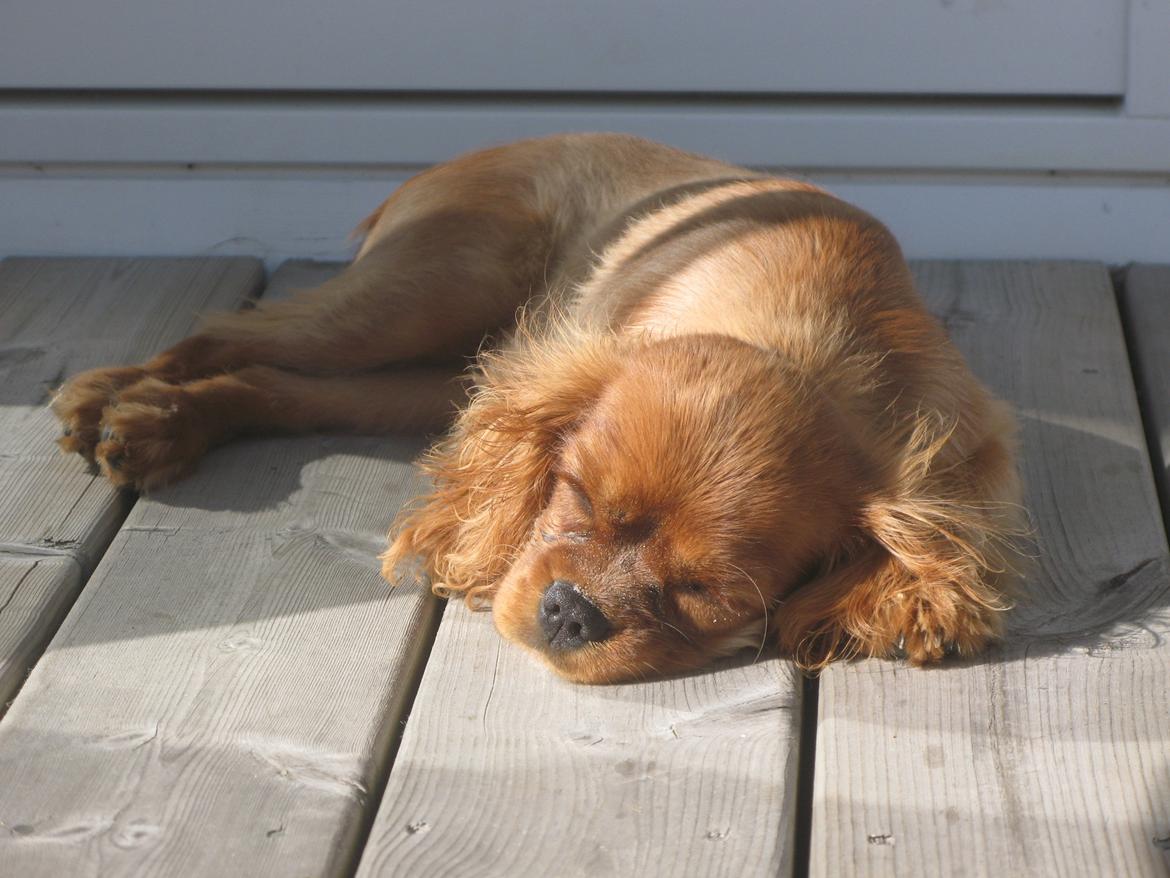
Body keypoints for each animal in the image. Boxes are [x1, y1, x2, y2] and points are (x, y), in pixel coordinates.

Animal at [52, 134, 1024, 688]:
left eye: (707, 592)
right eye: (577, 497)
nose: (569, 611)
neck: (809, 334)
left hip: (424, 375)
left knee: (277, 387)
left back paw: (163, 423)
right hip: (424, 293)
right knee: (226, 331)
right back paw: (119, 404)